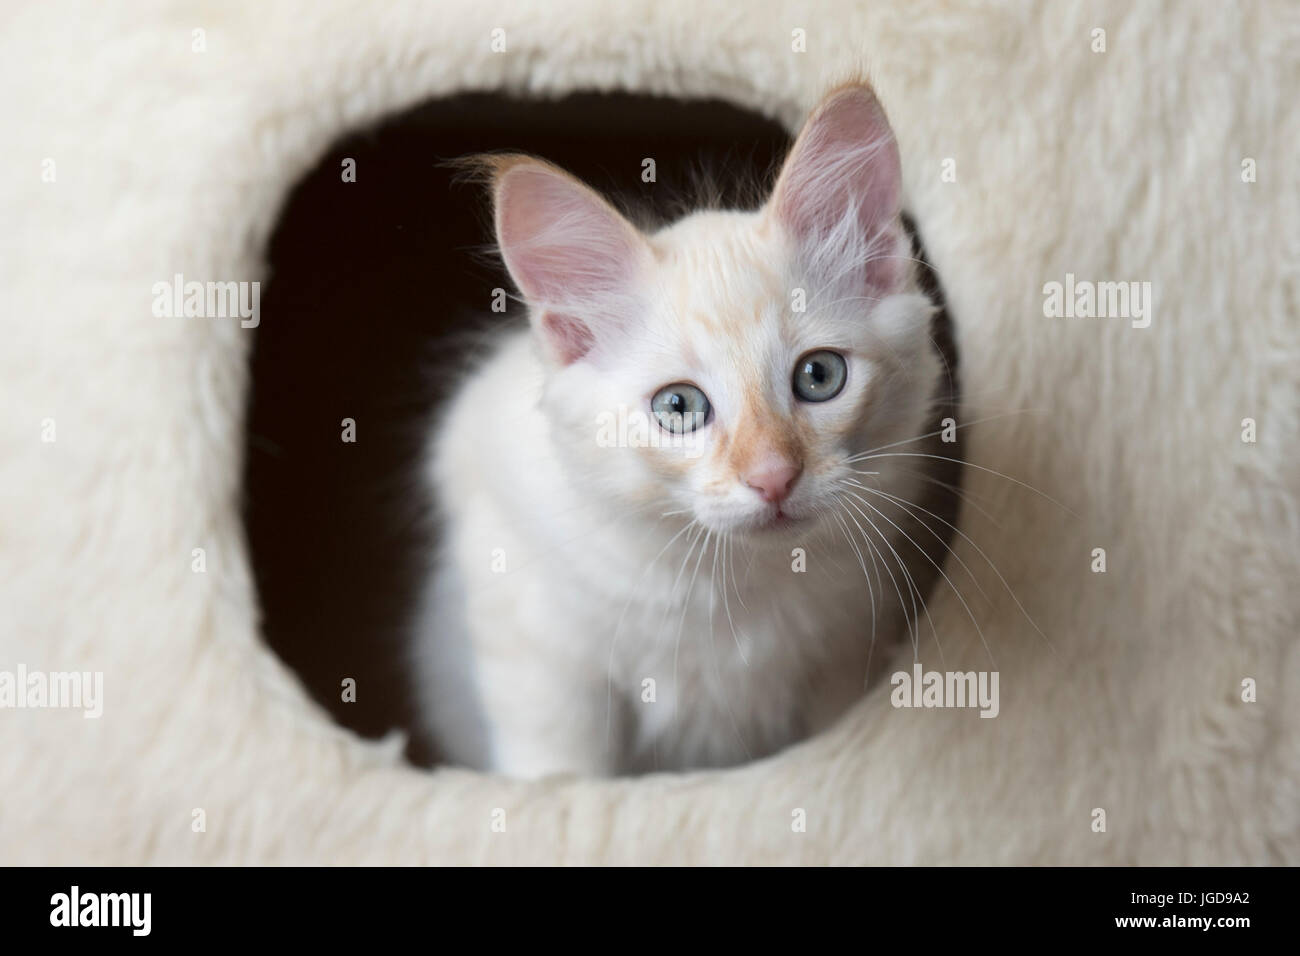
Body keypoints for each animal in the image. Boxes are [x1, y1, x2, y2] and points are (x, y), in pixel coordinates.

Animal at [413, 83, 946, 780]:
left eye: (819, 376)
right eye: (679, 407)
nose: (773, 477)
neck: (738, 581)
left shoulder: (848, 642)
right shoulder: (533, 641)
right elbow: (559, 765)